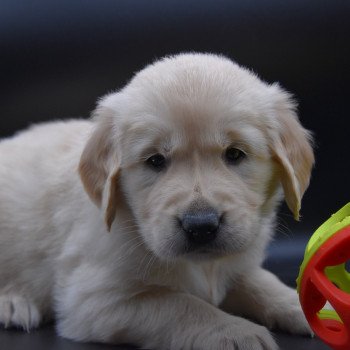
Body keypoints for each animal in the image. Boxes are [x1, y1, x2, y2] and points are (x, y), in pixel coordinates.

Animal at [0, 53, 314, 348]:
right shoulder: (92, 299)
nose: (201, 226)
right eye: (155, 160)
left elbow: (262, 282)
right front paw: (236, 332)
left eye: (235, 154)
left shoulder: (236, 265)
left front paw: (304, 305)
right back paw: (13, 302)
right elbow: (180, 305)